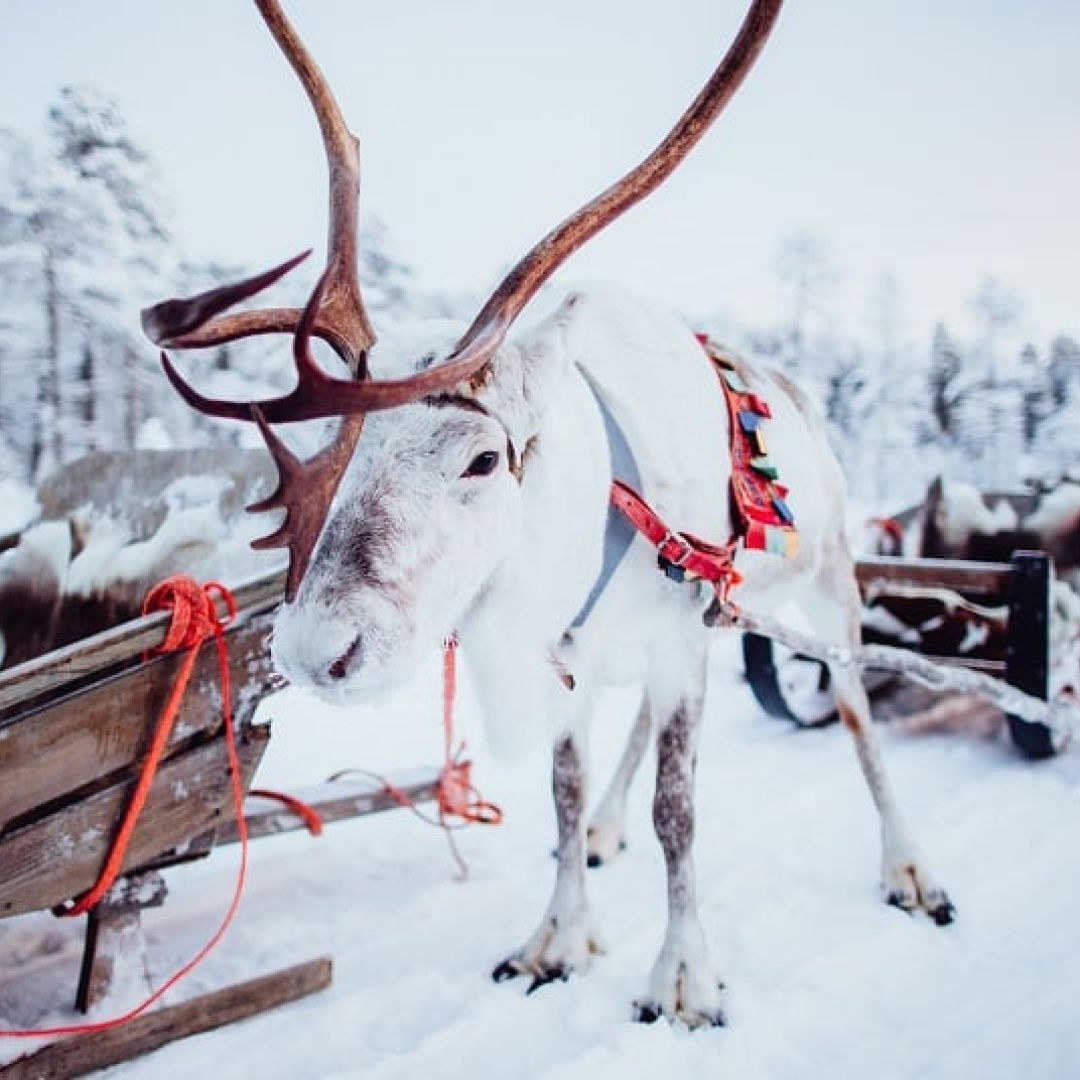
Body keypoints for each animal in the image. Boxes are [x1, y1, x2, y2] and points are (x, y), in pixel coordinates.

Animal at [143, 0, 955, 1028]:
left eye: (484, 458)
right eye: (341, 447)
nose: (315, 650)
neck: (588, 533)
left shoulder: (682, 638)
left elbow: (680, 809)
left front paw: (684, 976)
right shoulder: (571, 653)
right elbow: (564, 792)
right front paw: (557, 938)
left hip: (833, 578)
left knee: (854, 709)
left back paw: (911, 868)